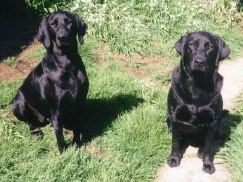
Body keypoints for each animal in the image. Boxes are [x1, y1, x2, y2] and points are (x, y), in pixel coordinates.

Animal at [12, 10, 88, 154]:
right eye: (53, 24)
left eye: (69, 22)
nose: (63, 37)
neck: (67, 65)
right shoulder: (56, 110)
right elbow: (60, 137)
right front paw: (64, 154)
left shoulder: (79, 104)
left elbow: (77, 128)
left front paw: (77, 146)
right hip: (18, 103)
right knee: (29, 123)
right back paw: (36, 133)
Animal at [166, 30, 231, 173]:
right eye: (192, 45)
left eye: (210, 47)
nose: (199, 61)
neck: (197, 85)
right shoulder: (175, 118)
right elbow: (175, 142)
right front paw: (174, 158)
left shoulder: (212, 122)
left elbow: (208, 147)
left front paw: (208, 164)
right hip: (168, 118)